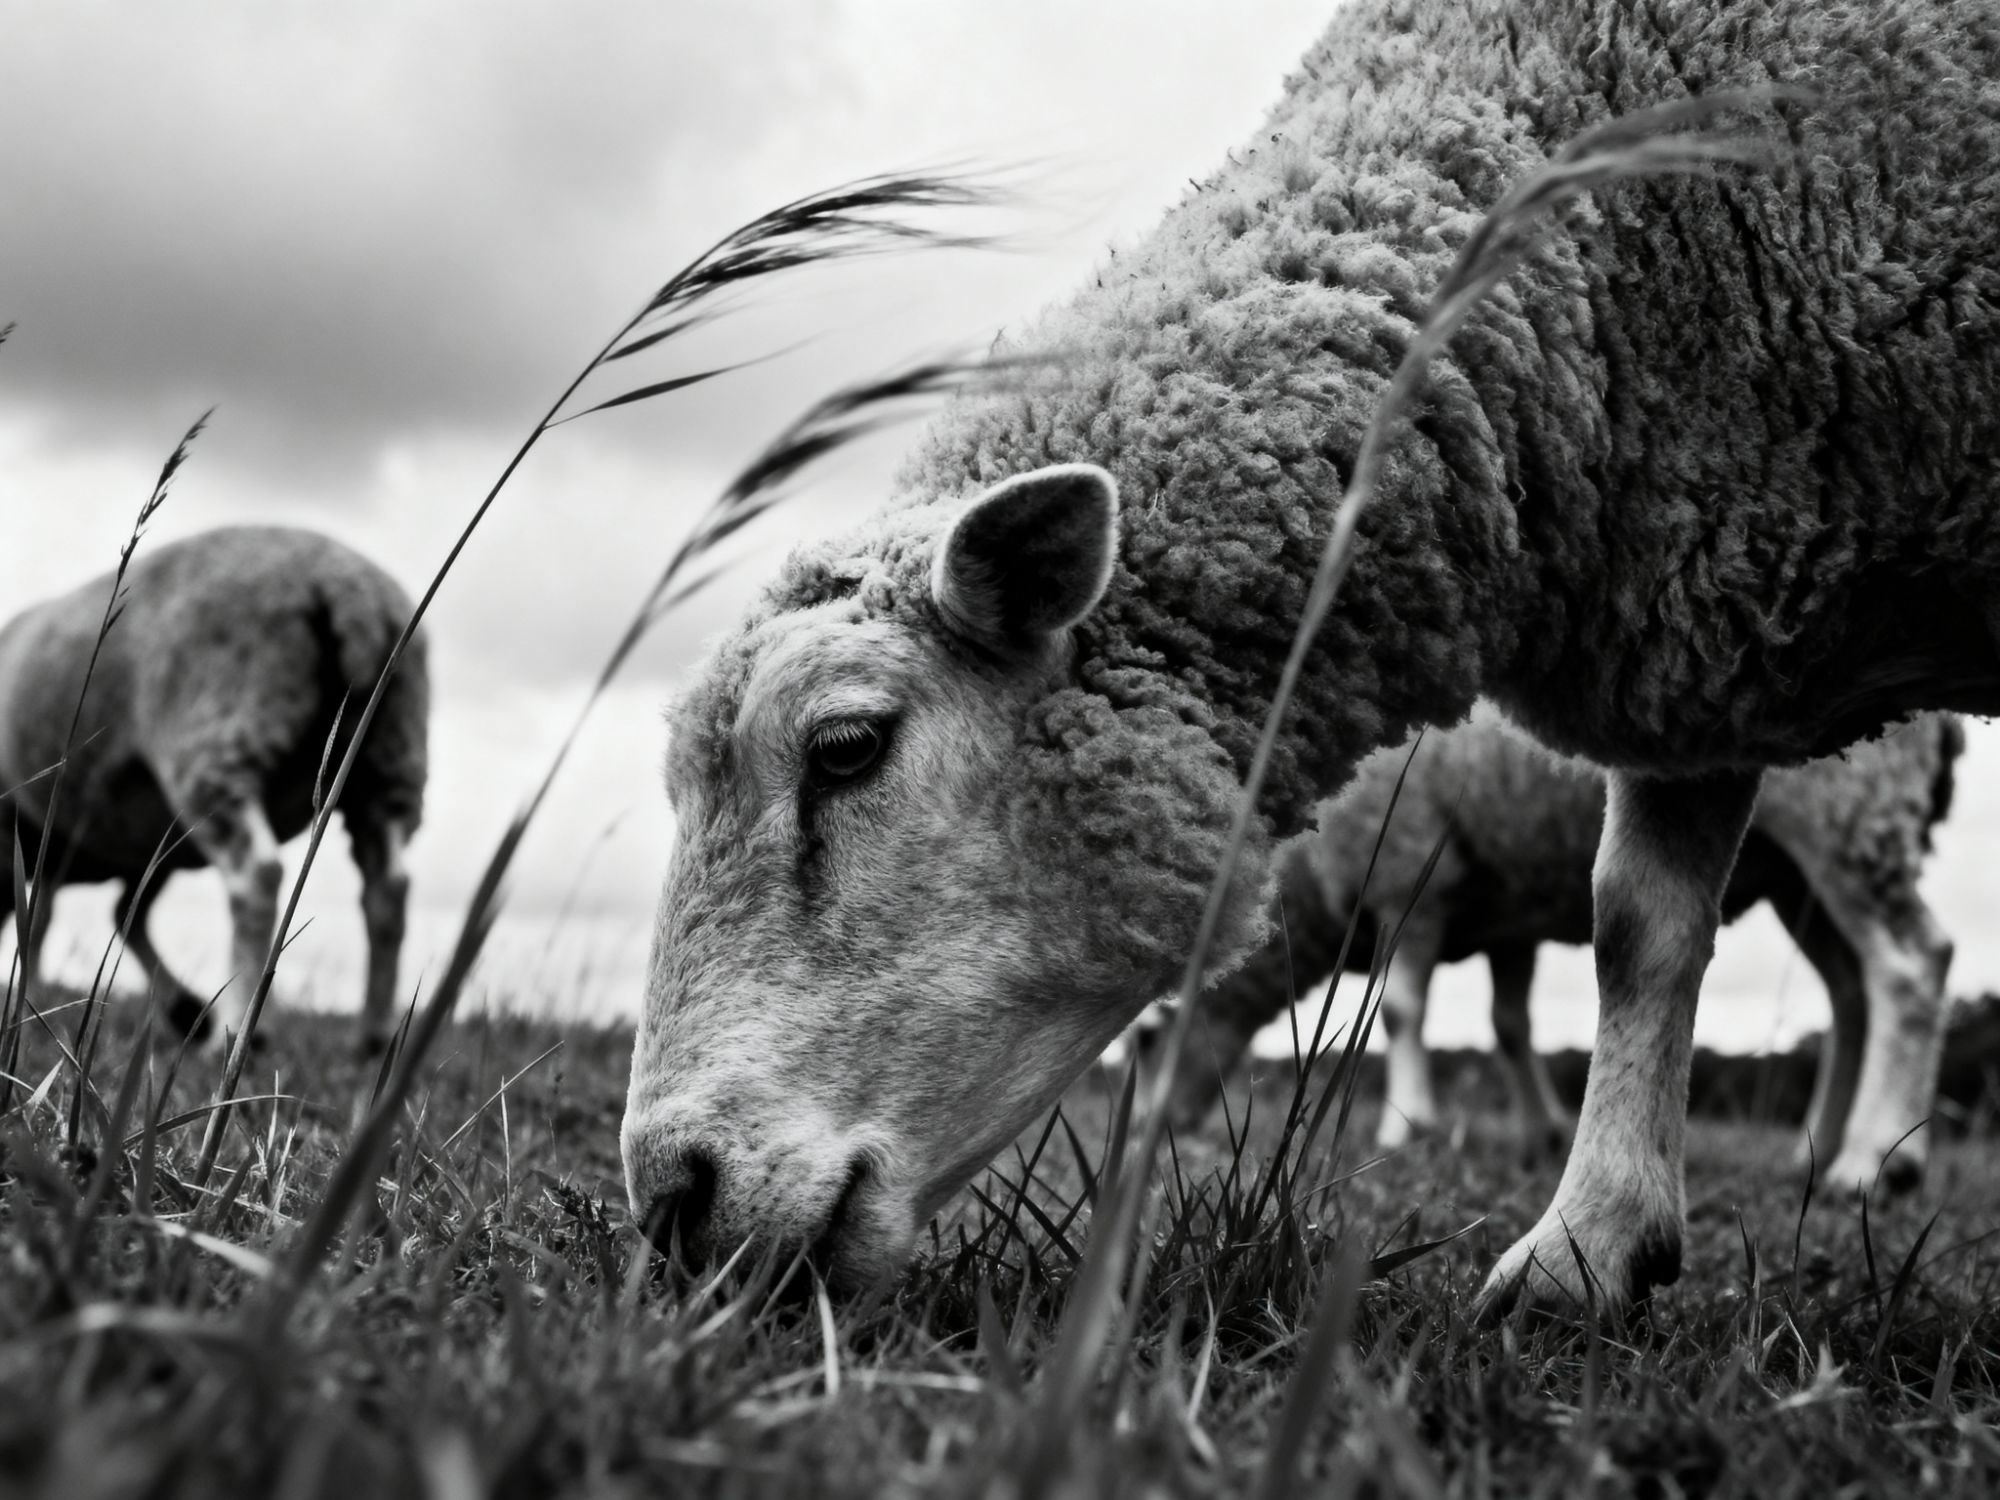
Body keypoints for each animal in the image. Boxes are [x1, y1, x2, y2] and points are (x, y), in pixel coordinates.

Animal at [0, 526, 428, 1051]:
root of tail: (351, 592)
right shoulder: (146, 850)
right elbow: (124, 914)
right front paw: (185, 1009)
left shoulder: (43, 838)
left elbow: (43, 920)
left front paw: (28, 1003)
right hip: (390, 758)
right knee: (388, 887)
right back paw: (373, 1037)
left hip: (220, 740)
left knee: (258, 876)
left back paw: (239, 1031)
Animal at [1134, 707, 1961, 1192]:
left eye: (1143, 1041)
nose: (1148, 1133)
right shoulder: (1510, 919)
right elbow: (1509, 1026)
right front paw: (1542, 1132)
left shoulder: (1410, 873)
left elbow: (1402, 1010)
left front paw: (1409, 1124)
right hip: (1798, 876)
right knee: (1851, 992)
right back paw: (1819, 1147)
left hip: (1847, 813)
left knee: (1910, 966)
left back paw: (1877, 1160)